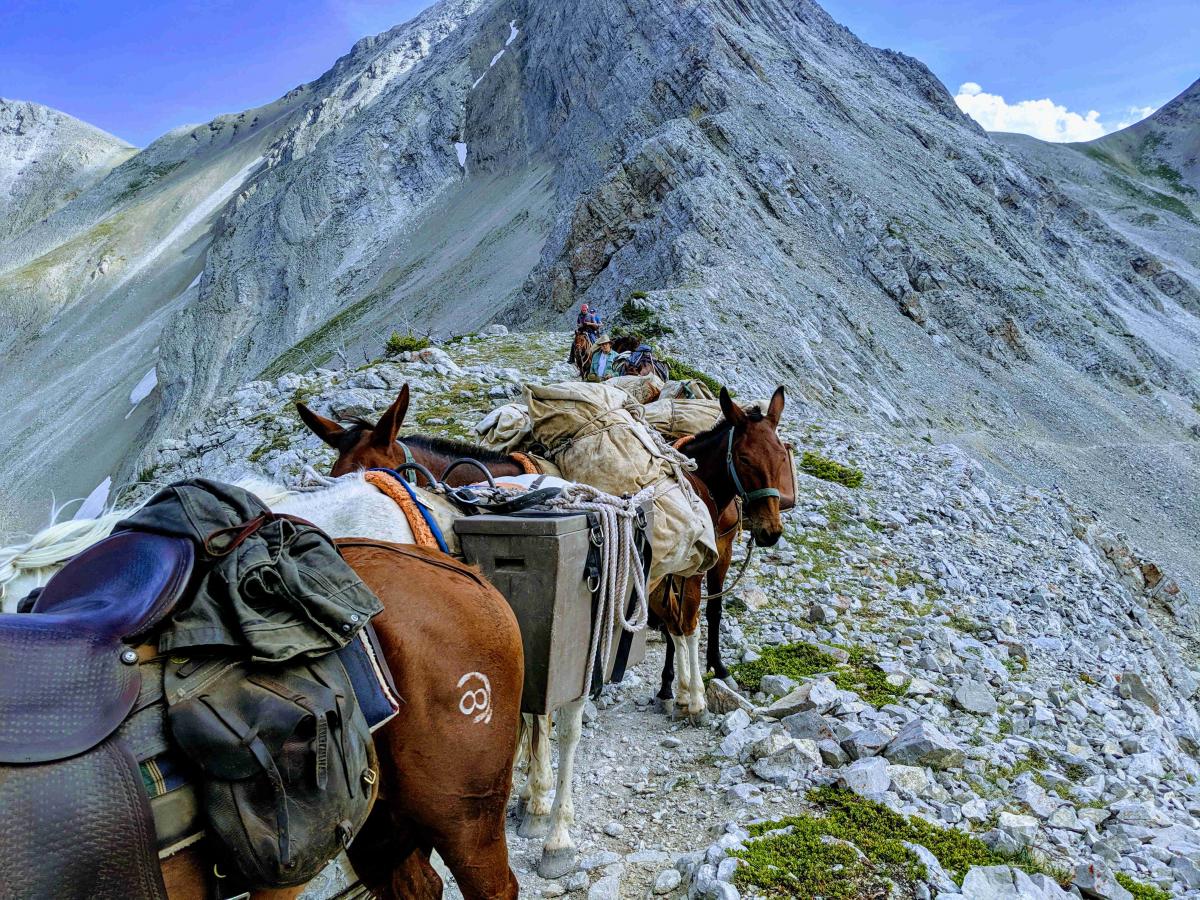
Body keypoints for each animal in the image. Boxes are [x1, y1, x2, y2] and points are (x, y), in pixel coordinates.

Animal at [648, 388, 787, 720]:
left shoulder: (722, 554)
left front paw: (718, 668)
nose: (771, 531)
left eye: (782, 457)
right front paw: (671, 687)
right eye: (745, 459)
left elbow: (712, 610)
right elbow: (681, 621)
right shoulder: (683, 566)